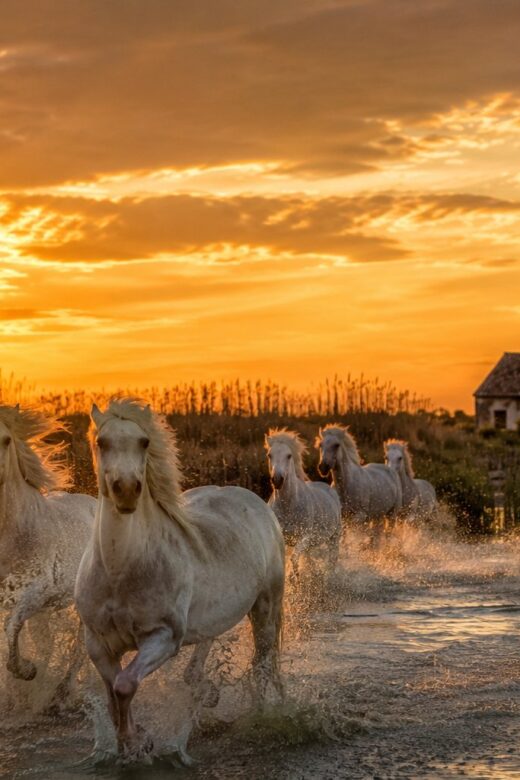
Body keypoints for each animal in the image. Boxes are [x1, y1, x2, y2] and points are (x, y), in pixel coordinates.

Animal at [75, 399, 285, 762]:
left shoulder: (163, 638)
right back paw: (207, 691)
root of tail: (259, 503)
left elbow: (125, 686)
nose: (126, 491)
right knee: (202, 653)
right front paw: (134, 739)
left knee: (261, 662)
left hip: (265, 607)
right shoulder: (98, 644)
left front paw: (137, 742)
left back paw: (260, 715)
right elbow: (113, 694)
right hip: (210, 618)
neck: (120, 572)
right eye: (102, 442)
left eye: (144, 442)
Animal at [265, 428, 341, 582]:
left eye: (289, 456)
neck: (288, 506)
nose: (277, 480)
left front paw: (296, 579)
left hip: (334, 536)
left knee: (332, 559)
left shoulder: (304, 537)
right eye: (270, 455)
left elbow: (294, 559)